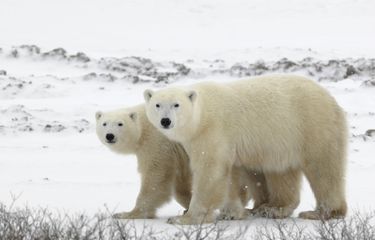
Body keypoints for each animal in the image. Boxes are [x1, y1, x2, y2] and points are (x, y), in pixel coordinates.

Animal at [143, 74, 346, 224]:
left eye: (176, 104)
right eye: (157, 105)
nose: (165, 121)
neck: (202, 115)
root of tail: (330, 97)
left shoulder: (213, 132)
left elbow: (210, 172)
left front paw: (184, 218)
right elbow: (231, 176)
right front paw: (232, 213)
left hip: (312, 125)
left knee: (323, 168)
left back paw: (322, 212)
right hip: (282, 142)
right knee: (280, 172)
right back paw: (271, 208)